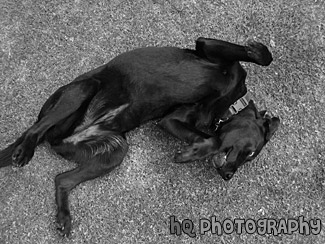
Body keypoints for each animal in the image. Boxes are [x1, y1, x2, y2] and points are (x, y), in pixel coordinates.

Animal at [0, 37, 272, 235]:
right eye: (249, 152)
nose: (228, 176)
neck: (230, 103)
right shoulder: (207, 47)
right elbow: (262, 57)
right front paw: (256, 48)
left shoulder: (173, 120)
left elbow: (212, 138)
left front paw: (191, 153)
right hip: (83, 89)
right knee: (33, 130)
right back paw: (24, 151)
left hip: (115, 151)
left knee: (62, 179)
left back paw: (64, 218)